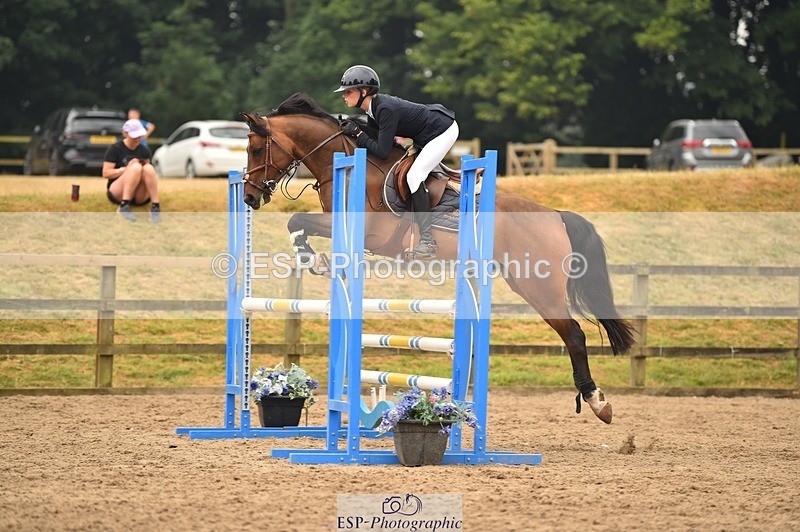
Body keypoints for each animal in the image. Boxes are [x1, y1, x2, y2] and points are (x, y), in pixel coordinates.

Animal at [240, 93, 635, 424]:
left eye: (256, 150)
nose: (248, 197)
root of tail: (555, 215)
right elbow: (298, 224)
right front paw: (314, 259)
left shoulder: (366, 231)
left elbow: (297, 221)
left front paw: (314, 259)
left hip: (538, 287)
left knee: (575, 336)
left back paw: (597, 401)